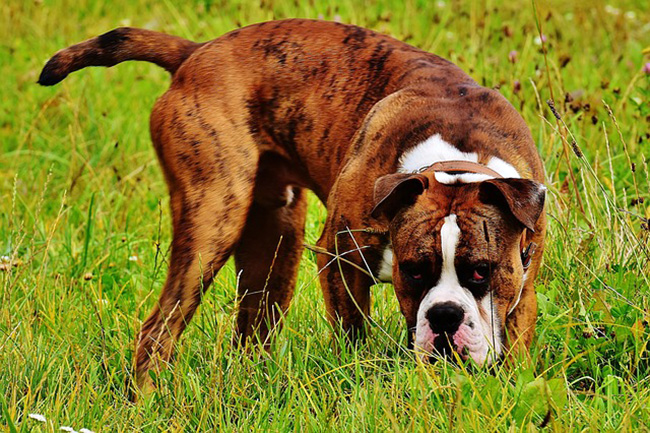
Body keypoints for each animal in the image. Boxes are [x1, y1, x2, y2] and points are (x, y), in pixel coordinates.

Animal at [40, 18, 544, 390]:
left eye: (481, 272)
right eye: (413, 271)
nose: (443, 316)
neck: (455, 161)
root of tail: (196, 52)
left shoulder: (524, 286)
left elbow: (516, 342)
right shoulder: (340, 258)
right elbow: (351, 334)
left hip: (273, 244)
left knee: (251, 330)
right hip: (211, 223)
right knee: (157, 330)